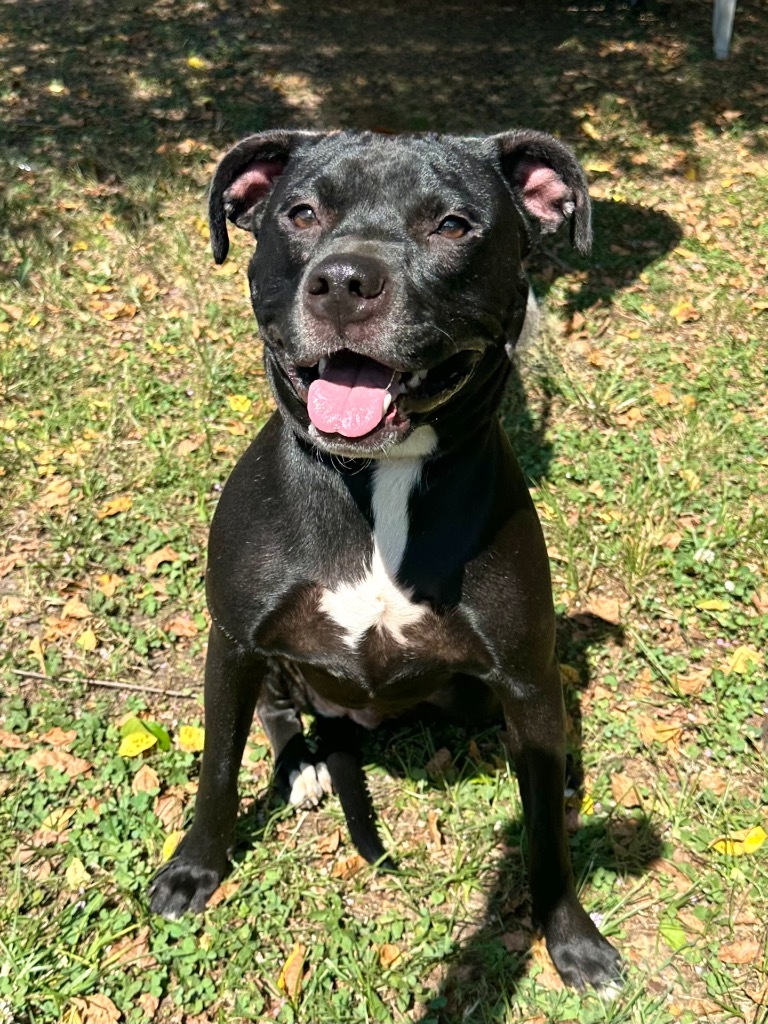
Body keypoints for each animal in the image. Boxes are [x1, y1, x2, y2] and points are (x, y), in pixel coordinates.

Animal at [150, 130, 626, 991]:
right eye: (301, 213)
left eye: (453, 225)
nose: (343, 281)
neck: (381, 477)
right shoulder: (232, 643)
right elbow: (217, 768)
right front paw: (194, 869)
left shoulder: (529, 677)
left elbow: (545, 825)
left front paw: (570, 936)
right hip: (270, 662)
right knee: (277, 714)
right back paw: (302, 767)